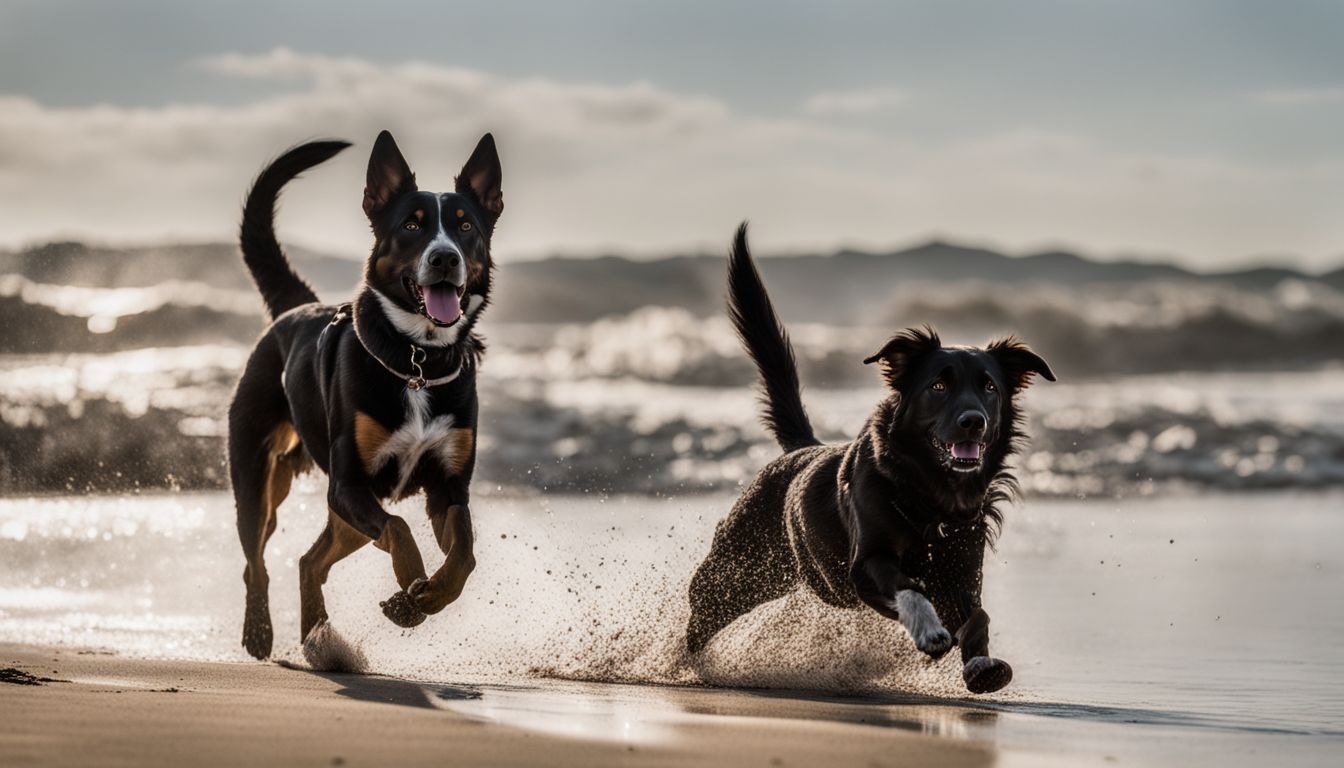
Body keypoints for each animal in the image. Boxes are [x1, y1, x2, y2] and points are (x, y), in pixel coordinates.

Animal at [231, 129, 505, 659]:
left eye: (466, 226)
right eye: (412, 225)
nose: (445, 258)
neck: (417, 361)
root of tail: (298, 307)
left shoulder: (447, 488)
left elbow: (464, 553)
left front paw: (422, 597)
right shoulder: (350, 484)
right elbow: (399, 530)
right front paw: (411, 588)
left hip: (343, 516)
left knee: (309, 560)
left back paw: (320, 639)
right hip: (258, 476)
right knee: (256, 557)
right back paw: (259, 631)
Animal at [688, 223, 1053, 699]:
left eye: (990, 387)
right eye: (938, 385)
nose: (973, 421)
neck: (930, 494)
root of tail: (800, 449)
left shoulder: (963, 568)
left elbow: (977, 616)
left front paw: (981, 664)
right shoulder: (866, 565)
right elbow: (908, 587)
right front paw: (929, 630)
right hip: (737, 571)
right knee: (698, 610)